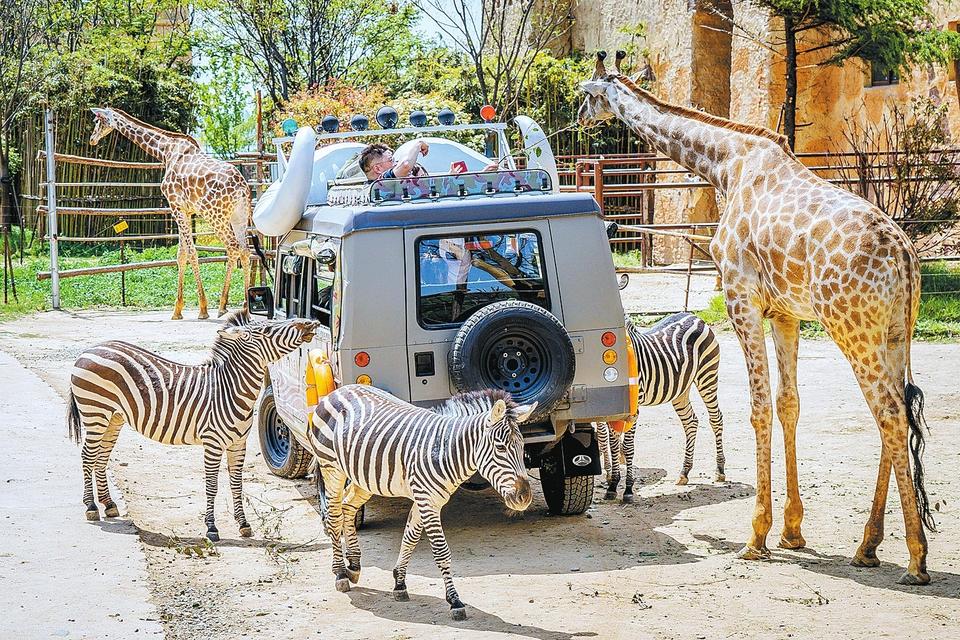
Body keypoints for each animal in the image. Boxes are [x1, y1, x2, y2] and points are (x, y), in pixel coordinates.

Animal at [65, 312, 318, 544]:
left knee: (101, 457)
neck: (230, 389)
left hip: (113, 417)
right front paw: (212, 528)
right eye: (267, 329)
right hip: (95, 412)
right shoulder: (212, 443)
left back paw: (108, 504)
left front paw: (244, 524)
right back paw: (91, 507)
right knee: (88, 456)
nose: (311, 323)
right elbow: (212, 485)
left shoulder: (238, 443)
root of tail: (90, 349)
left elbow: (237, 484)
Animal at [89, 107, 251, 322]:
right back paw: (246, 304)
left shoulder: (175, 206)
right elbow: (181, 254)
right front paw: (177, 310)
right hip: (239, 217)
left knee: (232, 247)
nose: (92, 139)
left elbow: (191, 253)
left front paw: (202, 309)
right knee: (245, 250)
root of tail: (241, 188)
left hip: (215, 215)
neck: (165, 151)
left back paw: (222, 306)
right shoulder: (186, 210)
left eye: (97, 121)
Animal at [306, 384, 536, 620]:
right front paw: (454, 601)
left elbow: (410, 537)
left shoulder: (427, 499)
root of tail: (339, 390)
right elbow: (441, 551)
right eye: (500, 449)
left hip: (364, 477)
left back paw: (353, 566)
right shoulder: (428, 502)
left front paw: (399, 583)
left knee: (348, 506)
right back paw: (340, 573)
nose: (524, 497)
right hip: (332, 468)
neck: (445, 451)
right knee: (334, 516)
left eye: (522, 448)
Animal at [596, 312, 724, 502]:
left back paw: (720, 469)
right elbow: (613, 444)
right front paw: (612, 485)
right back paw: (684, 472)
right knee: (691, 422)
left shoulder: (634, 410)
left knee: (716, 419)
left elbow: (628, 446)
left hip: (707, 375)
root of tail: (693, 316)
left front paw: (628, 488)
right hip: (680, 390)